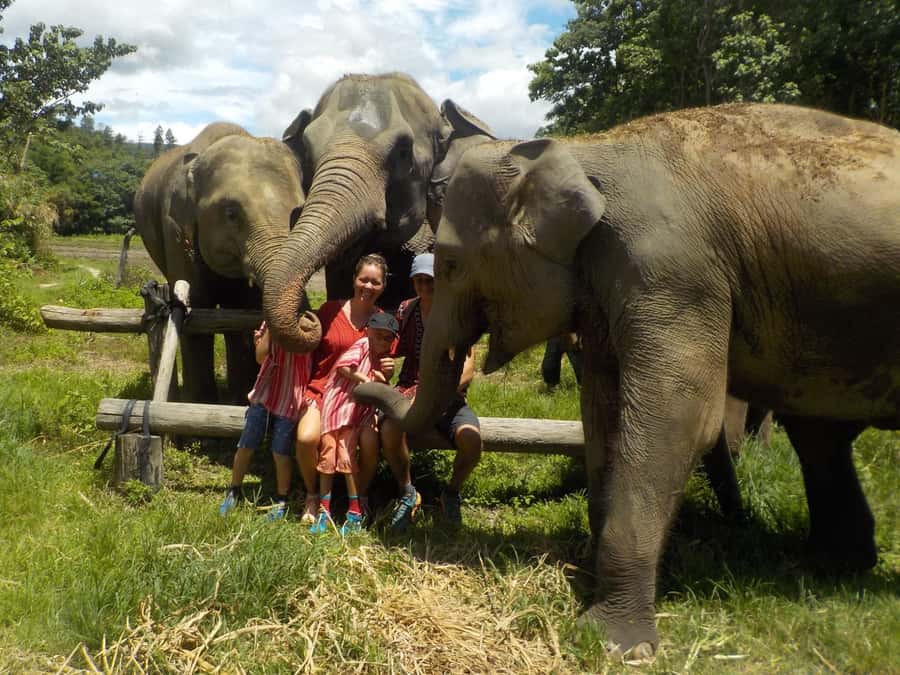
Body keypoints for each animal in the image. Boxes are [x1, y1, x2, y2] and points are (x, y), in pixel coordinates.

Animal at [134, 122, 305, 403]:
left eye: (299, 211)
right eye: (231, 213)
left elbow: (242, 311)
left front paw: (238, 400)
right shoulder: (176, 230)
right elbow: (195, 308)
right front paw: (199, 404)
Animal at [355, 104, 900, 658]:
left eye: (450, 263)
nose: (362, 381)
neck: (581, 150)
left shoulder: (673, 274)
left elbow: (679, 419)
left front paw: (609, 641)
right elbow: (603, 410)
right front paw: (584, 571)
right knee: (819, 437)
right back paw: (832, 567)